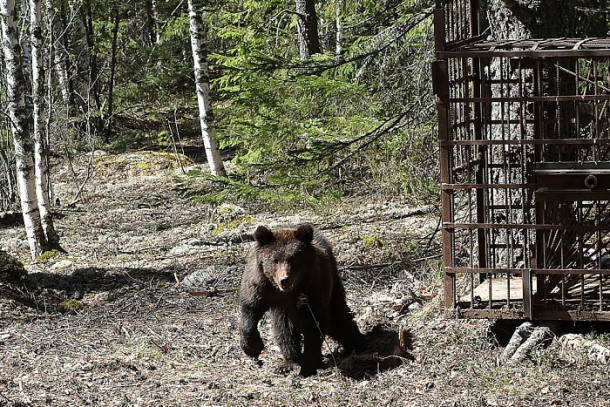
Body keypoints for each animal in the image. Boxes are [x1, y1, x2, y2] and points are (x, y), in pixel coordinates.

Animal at [236, 225, 360, 378]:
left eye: (294, 258)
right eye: (275, 260)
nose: (284, 280)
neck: (287, 292)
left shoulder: (313, 290)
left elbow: (314, 325)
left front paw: (309, 364)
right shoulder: (261, 288)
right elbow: (250, 310)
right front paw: (253, 347)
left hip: (331, 282)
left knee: (339, 318)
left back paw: (355, 344)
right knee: (284, 328)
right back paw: (289, 362)